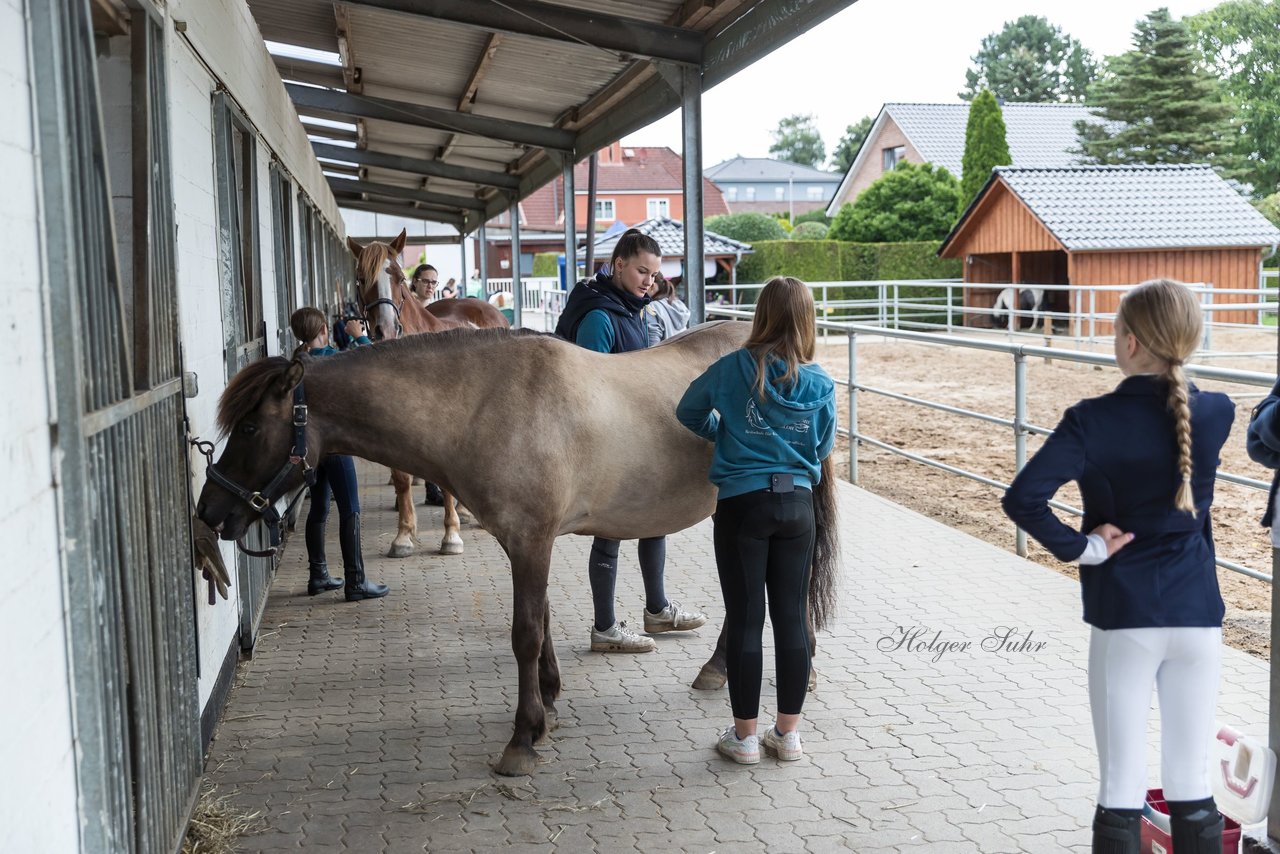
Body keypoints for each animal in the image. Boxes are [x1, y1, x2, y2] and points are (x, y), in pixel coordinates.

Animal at [197, 323, 839, 778]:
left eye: (250, 429)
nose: (211, 513)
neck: (483, 404)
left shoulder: (532, 540)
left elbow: (525, 632)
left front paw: (522, 737)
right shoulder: (523, 542)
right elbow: (544, 622)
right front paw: (549, 703)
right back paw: (719, 669)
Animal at [353, 229, 512, 560]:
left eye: (399, 276)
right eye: (362, 279)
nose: (386, 329)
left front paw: (451, 536)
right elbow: (402, 479)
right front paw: (403, 537)